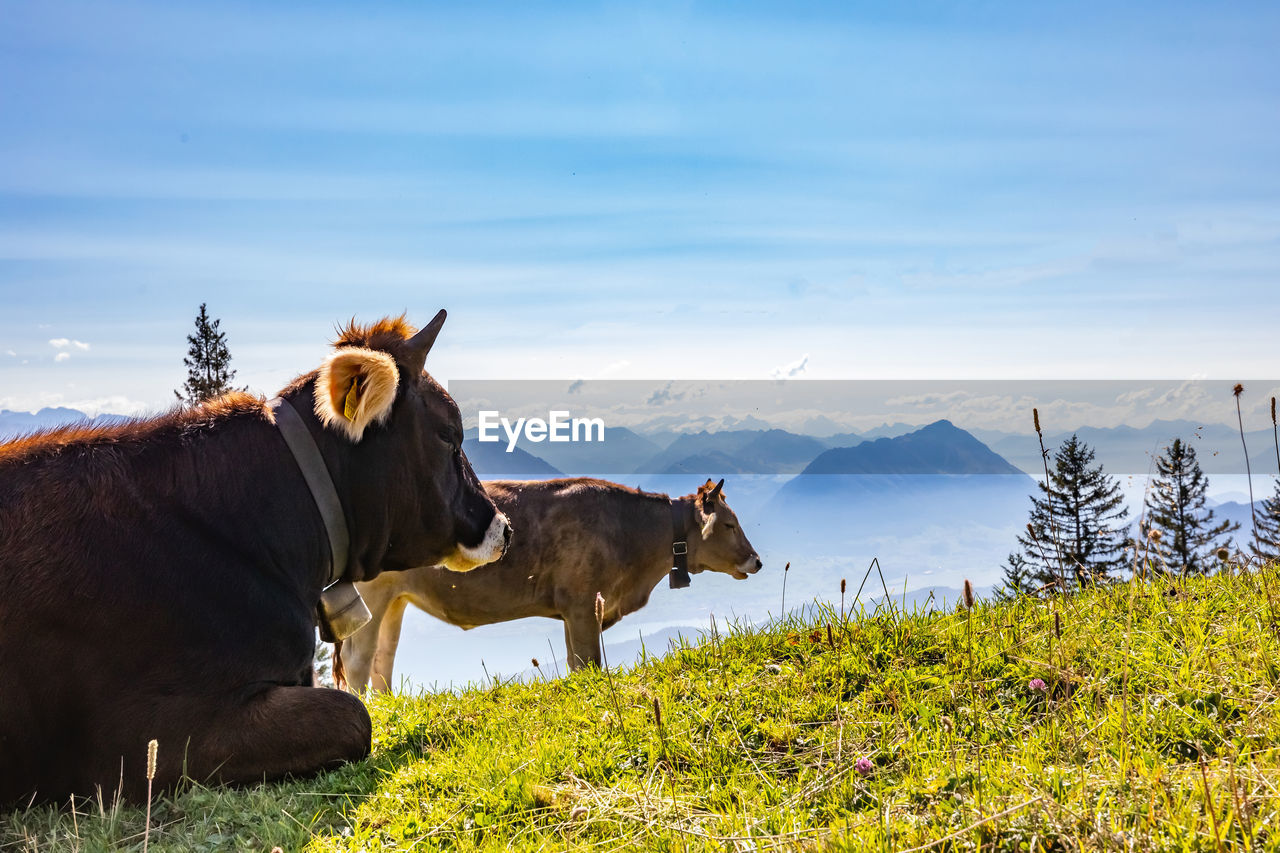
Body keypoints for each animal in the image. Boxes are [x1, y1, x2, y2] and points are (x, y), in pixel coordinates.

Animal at [337, 473, 757, 686]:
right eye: (730, 524)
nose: (757, 561)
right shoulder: (583, 604)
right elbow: (589, 661)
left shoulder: (573, 610)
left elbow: (575, 662)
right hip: (373, 596)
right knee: (358, 661)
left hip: (395, 599)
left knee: (382, 660)